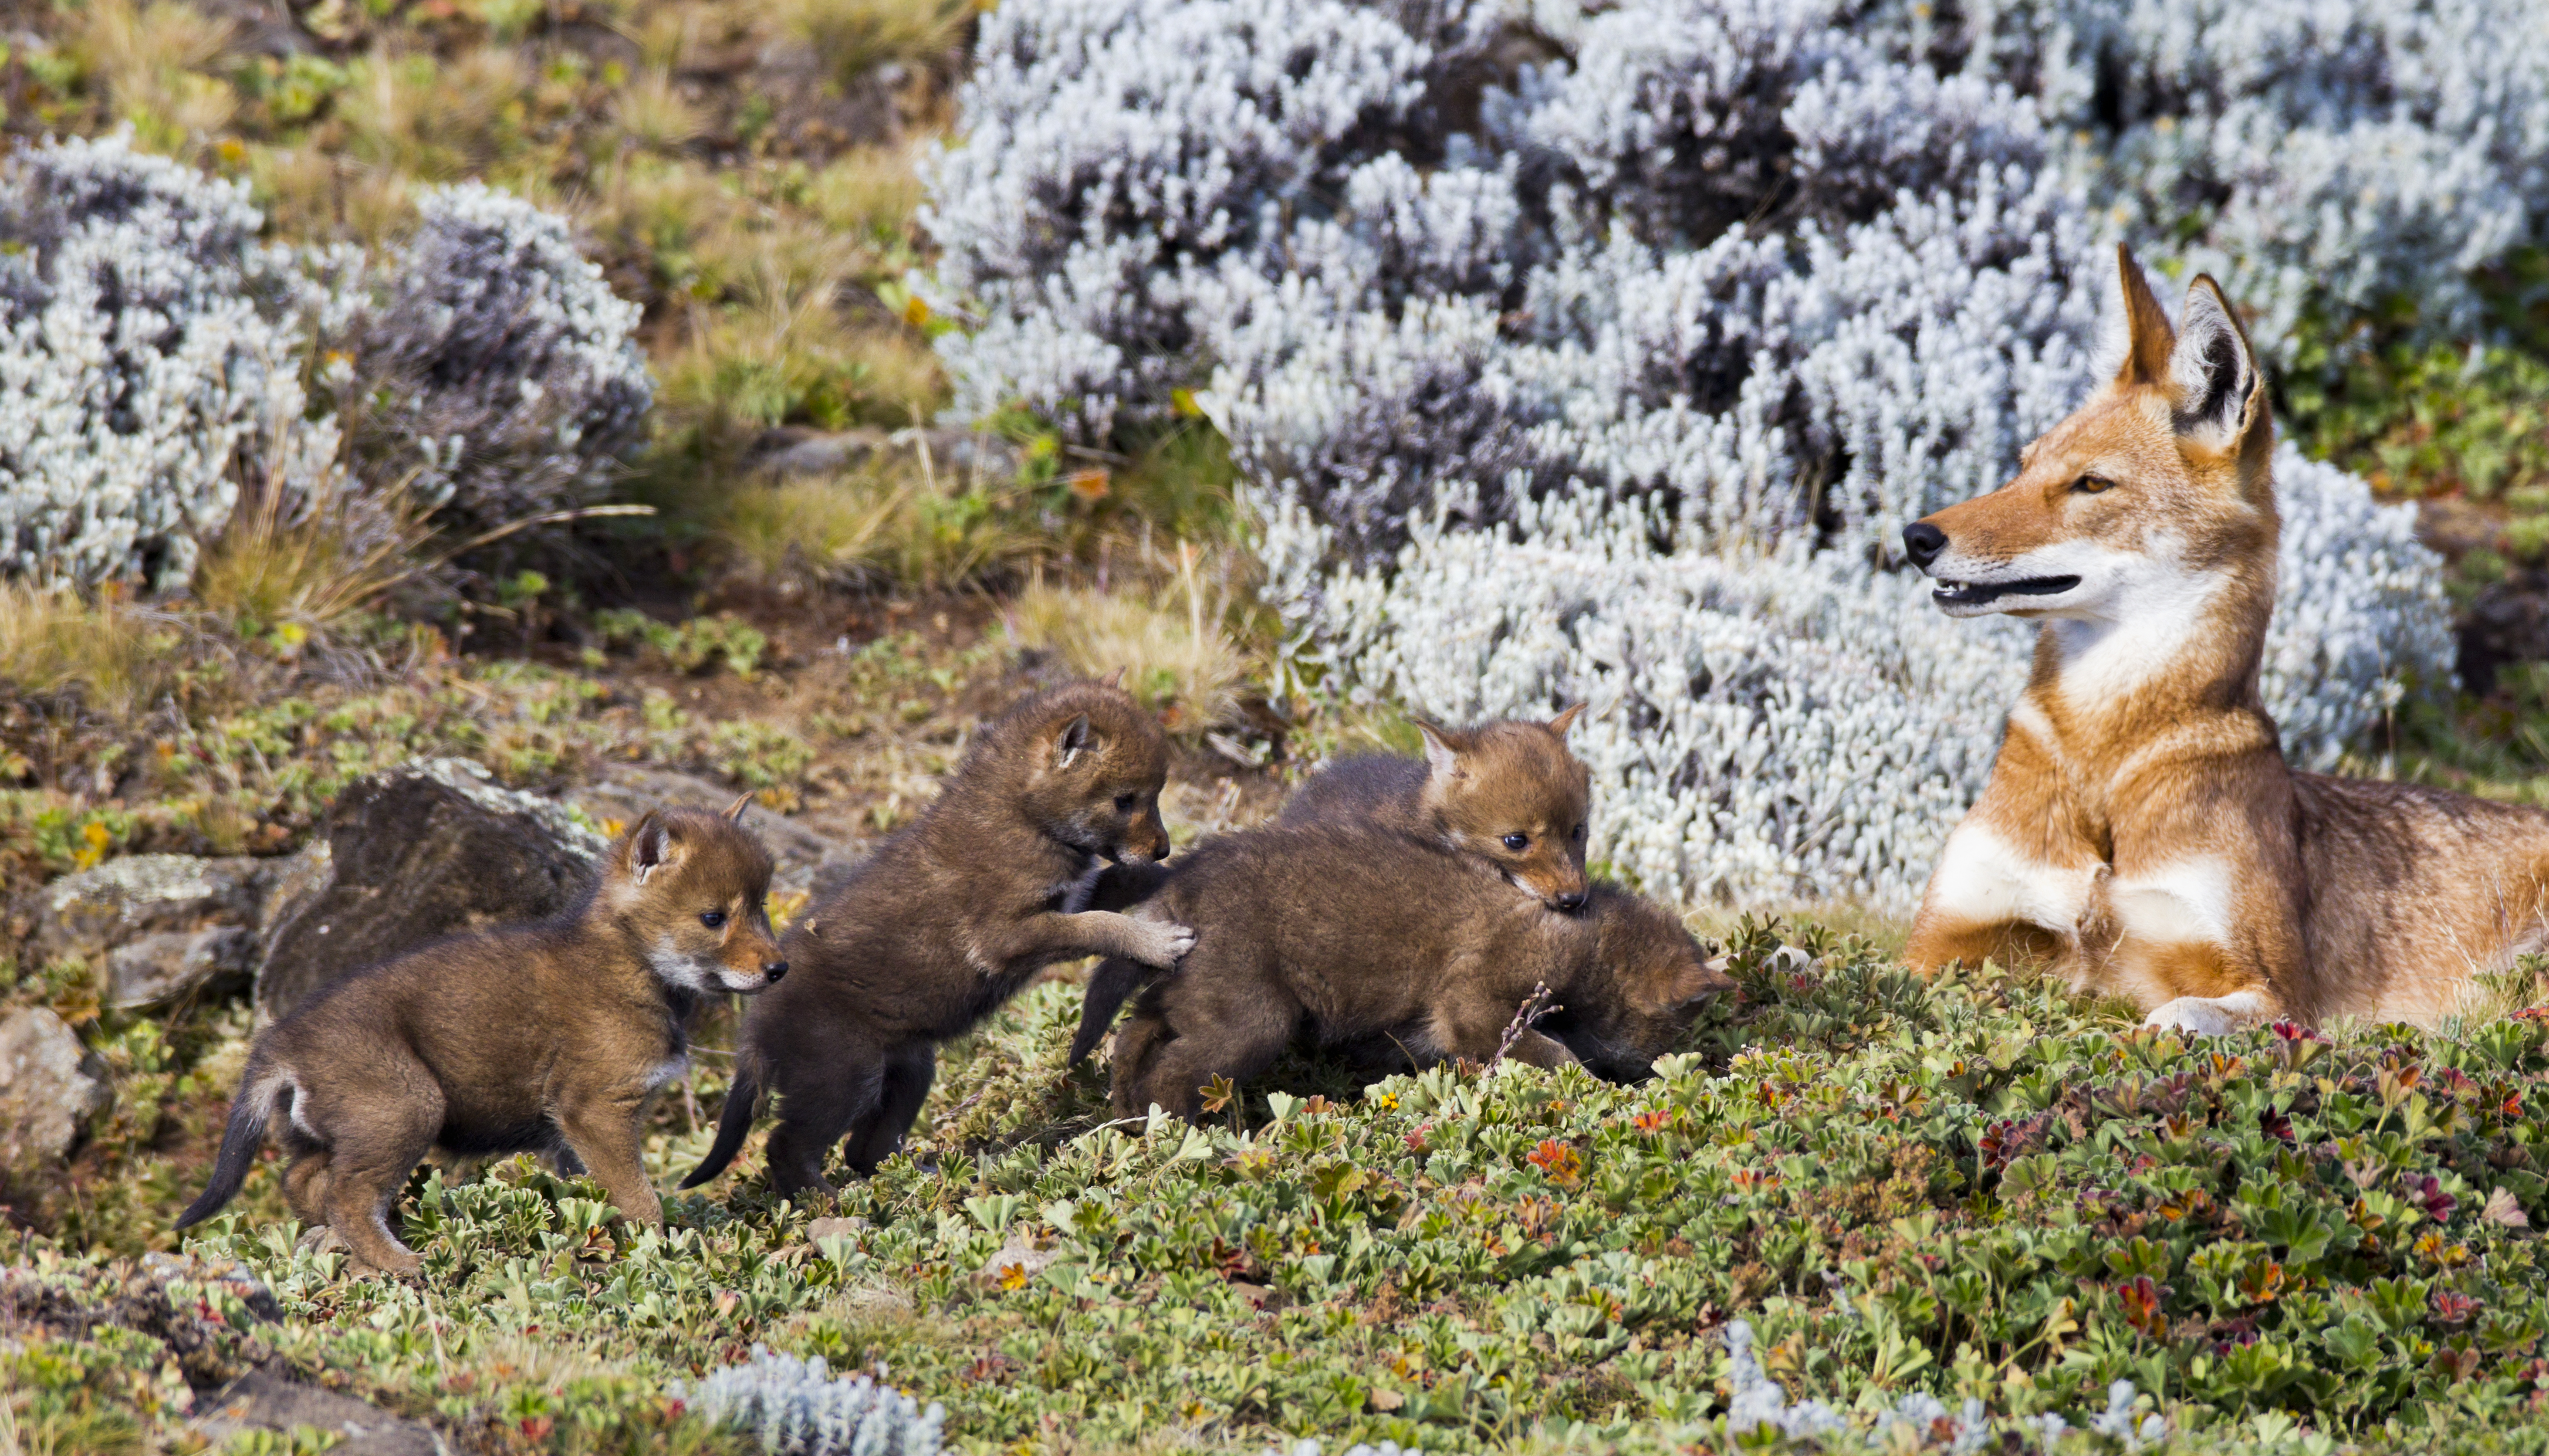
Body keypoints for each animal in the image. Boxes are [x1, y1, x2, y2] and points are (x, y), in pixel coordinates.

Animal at [1896, 242, 2549, 1035]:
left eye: (2091, 485)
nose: (1916, 538)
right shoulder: (1938, 941)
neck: (2104, 765)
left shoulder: (2270, 988)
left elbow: (2172, 1016)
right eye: (2022, 468)